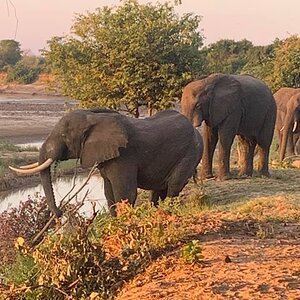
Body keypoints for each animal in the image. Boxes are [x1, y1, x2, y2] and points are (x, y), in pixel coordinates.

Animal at [9, 108, 203, 218]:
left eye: (64, 136)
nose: (59, 213)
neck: (93, 119)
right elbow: (109, 193)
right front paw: (116, 222)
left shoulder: (124, 156)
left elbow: (124, 192)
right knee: (159, 188)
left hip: (191, 153)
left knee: (173, 185)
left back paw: (166, 212)